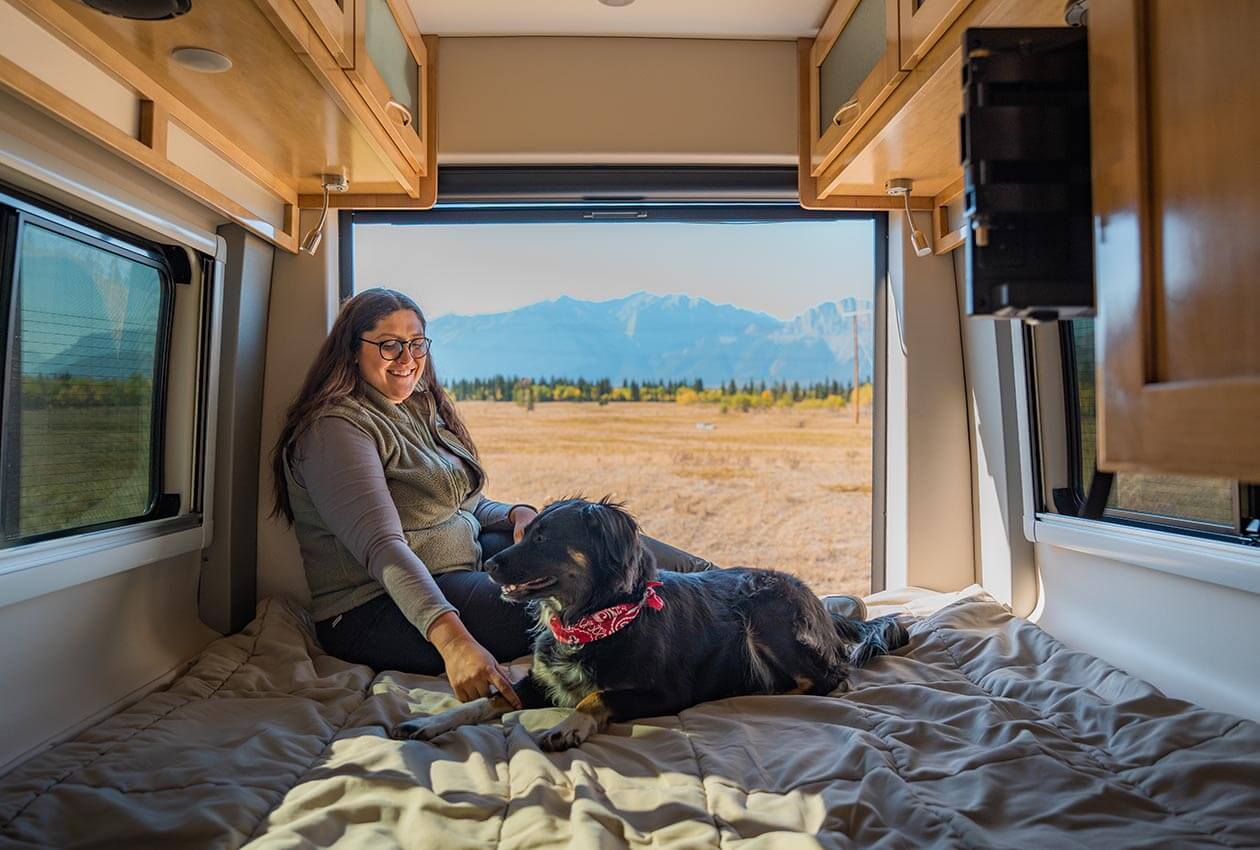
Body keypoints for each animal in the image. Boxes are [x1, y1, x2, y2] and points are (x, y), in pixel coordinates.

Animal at [390, 498, 907, 750]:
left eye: (542, 538)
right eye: (527, 532)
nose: (491, 564)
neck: (593, 622)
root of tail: (819, 604)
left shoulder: (666, 692)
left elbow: (598, 695)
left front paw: (570, 725)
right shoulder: (534, 685)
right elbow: (488, 699)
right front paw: (431, 721)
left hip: (766, 617)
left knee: (830, 677)